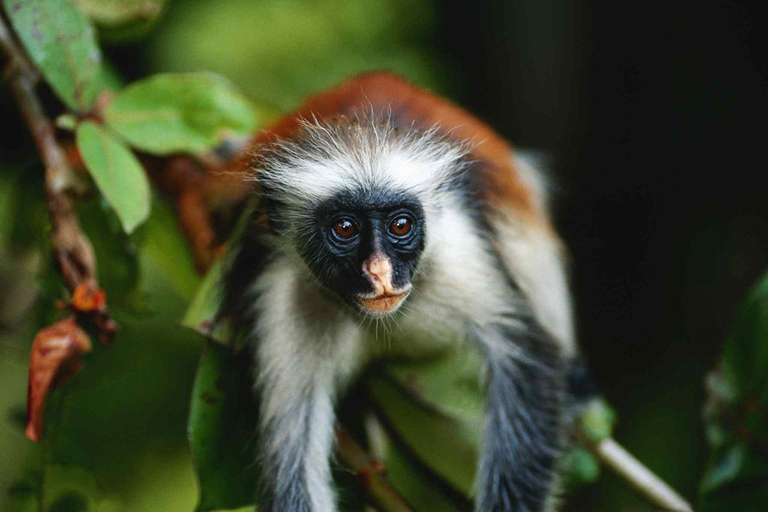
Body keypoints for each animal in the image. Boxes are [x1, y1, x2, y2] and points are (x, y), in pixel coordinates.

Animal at [222, 72, 588, 512]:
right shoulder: (286, 292)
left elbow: (527, 359)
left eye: (400, 225)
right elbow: (291, 456)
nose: (380, 272)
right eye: (345, 228)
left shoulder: (458, 252)